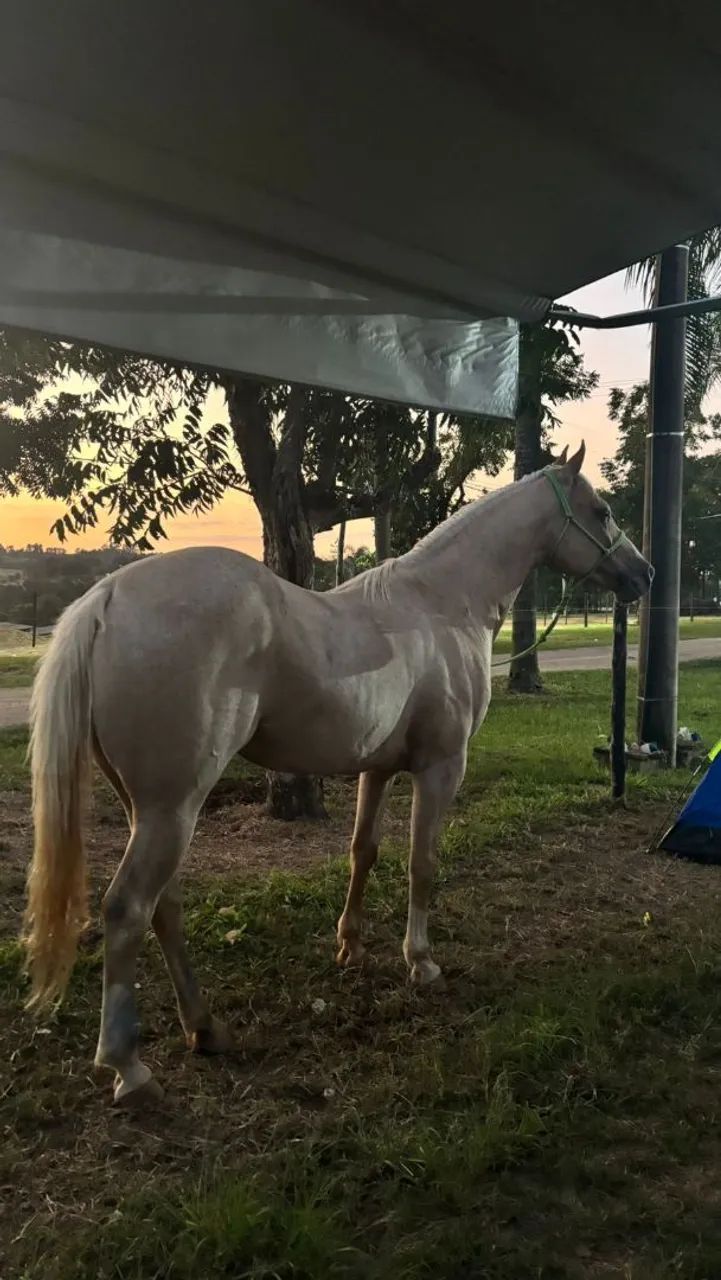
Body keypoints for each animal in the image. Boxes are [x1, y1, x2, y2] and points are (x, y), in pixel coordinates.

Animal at [23, 442, 652, 1105]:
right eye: (603, 511)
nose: (645, 576)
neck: (442, 604)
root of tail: (107, 599)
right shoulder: (440, 767)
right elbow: (421, 862)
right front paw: (420, 961)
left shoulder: (377, 769)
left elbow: (363, 851)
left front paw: (349, 944)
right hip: (172, 809)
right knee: (128, 910)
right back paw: (128, 1066)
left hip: (145, 809)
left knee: (162, 907)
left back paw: (205, 1028)